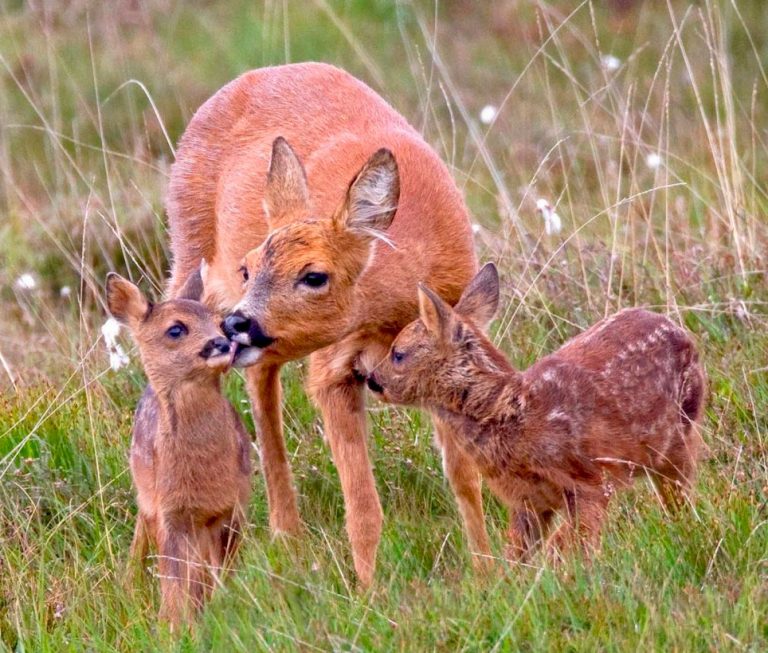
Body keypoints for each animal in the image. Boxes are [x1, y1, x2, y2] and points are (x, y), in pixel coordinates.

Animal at [106, 266, 250, 628]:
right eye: (175, 329)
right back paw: (130, 585)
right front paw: (172, 625)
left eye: (220, 322)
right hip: (148, 499)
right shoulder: (171, 513)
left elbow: (220, 570)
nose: (220, 342)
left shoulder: (234, 506)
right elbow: (175, 578)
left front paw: (222, 607)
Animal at [167, 63, 488, 584]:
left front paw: (490, 570)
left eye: (314, 275)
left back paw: (287, 536)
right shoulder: (333, 369)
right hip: (188, 250)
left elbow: (465, 479)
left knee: (261, 381)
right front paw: (371, 591)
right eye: (248, 268)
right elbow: (363, 507)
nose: (237, 323)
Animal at [368, 264, 704, 560]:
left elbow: (570, 545)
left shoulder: (590, 480)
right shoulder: (527, 501)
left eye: (398, 354)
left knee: (680, 496)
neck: (511, 410)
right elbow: (518, 554)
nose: (372, 379)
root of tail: (681, 331)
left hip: (681, 437)